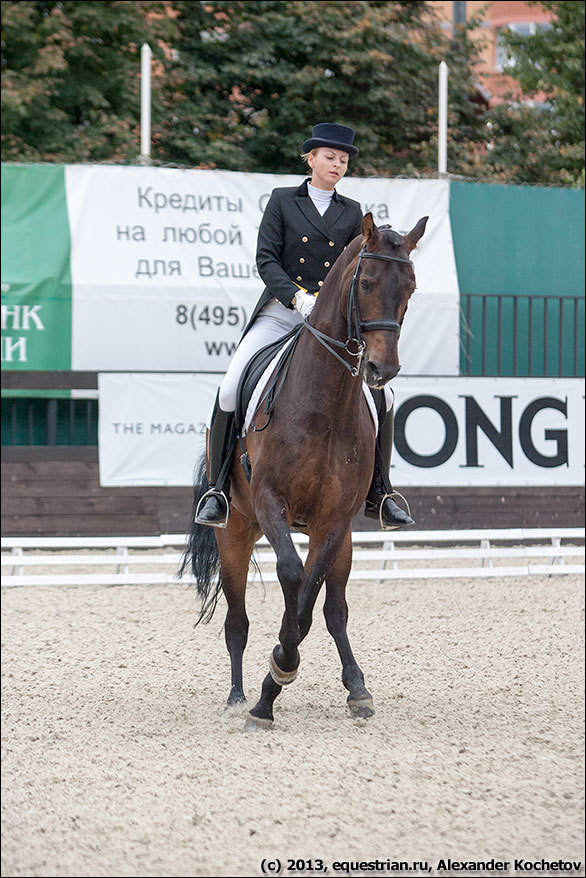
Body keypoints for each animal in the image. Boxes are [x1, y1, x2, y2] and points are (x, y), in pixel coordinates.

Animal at [180, 211, 426, 728]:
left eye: (410, 289)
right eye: (366, 283)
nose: (382, 370)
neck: (324, 403)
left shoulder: (333, 521)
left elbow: (310, 601)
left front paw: (279, 673)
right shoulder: (271, 501)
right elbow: (292, 576)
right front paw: (270, 686)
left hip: (340, 536)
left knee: (335, 611)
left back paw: (357, 689)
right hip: (235, 530)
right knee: (236, 620)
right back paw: (237, 696)